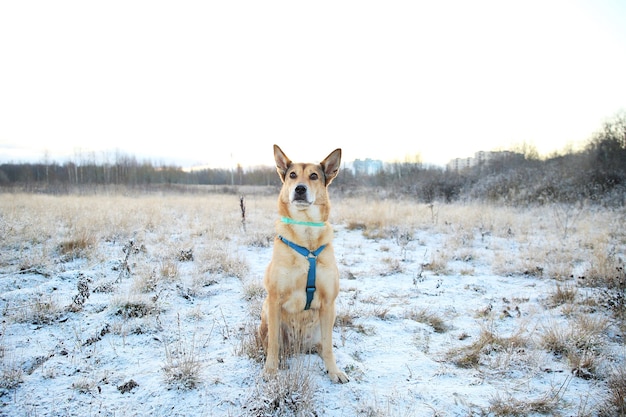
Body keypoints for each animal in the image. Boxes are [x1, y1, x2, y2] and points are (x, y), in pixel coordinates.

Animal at [258, 145, 348, 382]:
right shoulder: (274, 299)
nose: (299, 189)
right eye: (292, 175)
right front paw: (270, 370)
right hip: (265, 312)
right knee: (271, 342)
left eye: (314, 176)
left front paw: (334, 371)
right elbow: (273, 344)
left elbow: (329, 346)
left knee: (323, 345)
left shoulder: (328, 303)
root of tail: (298, 346)